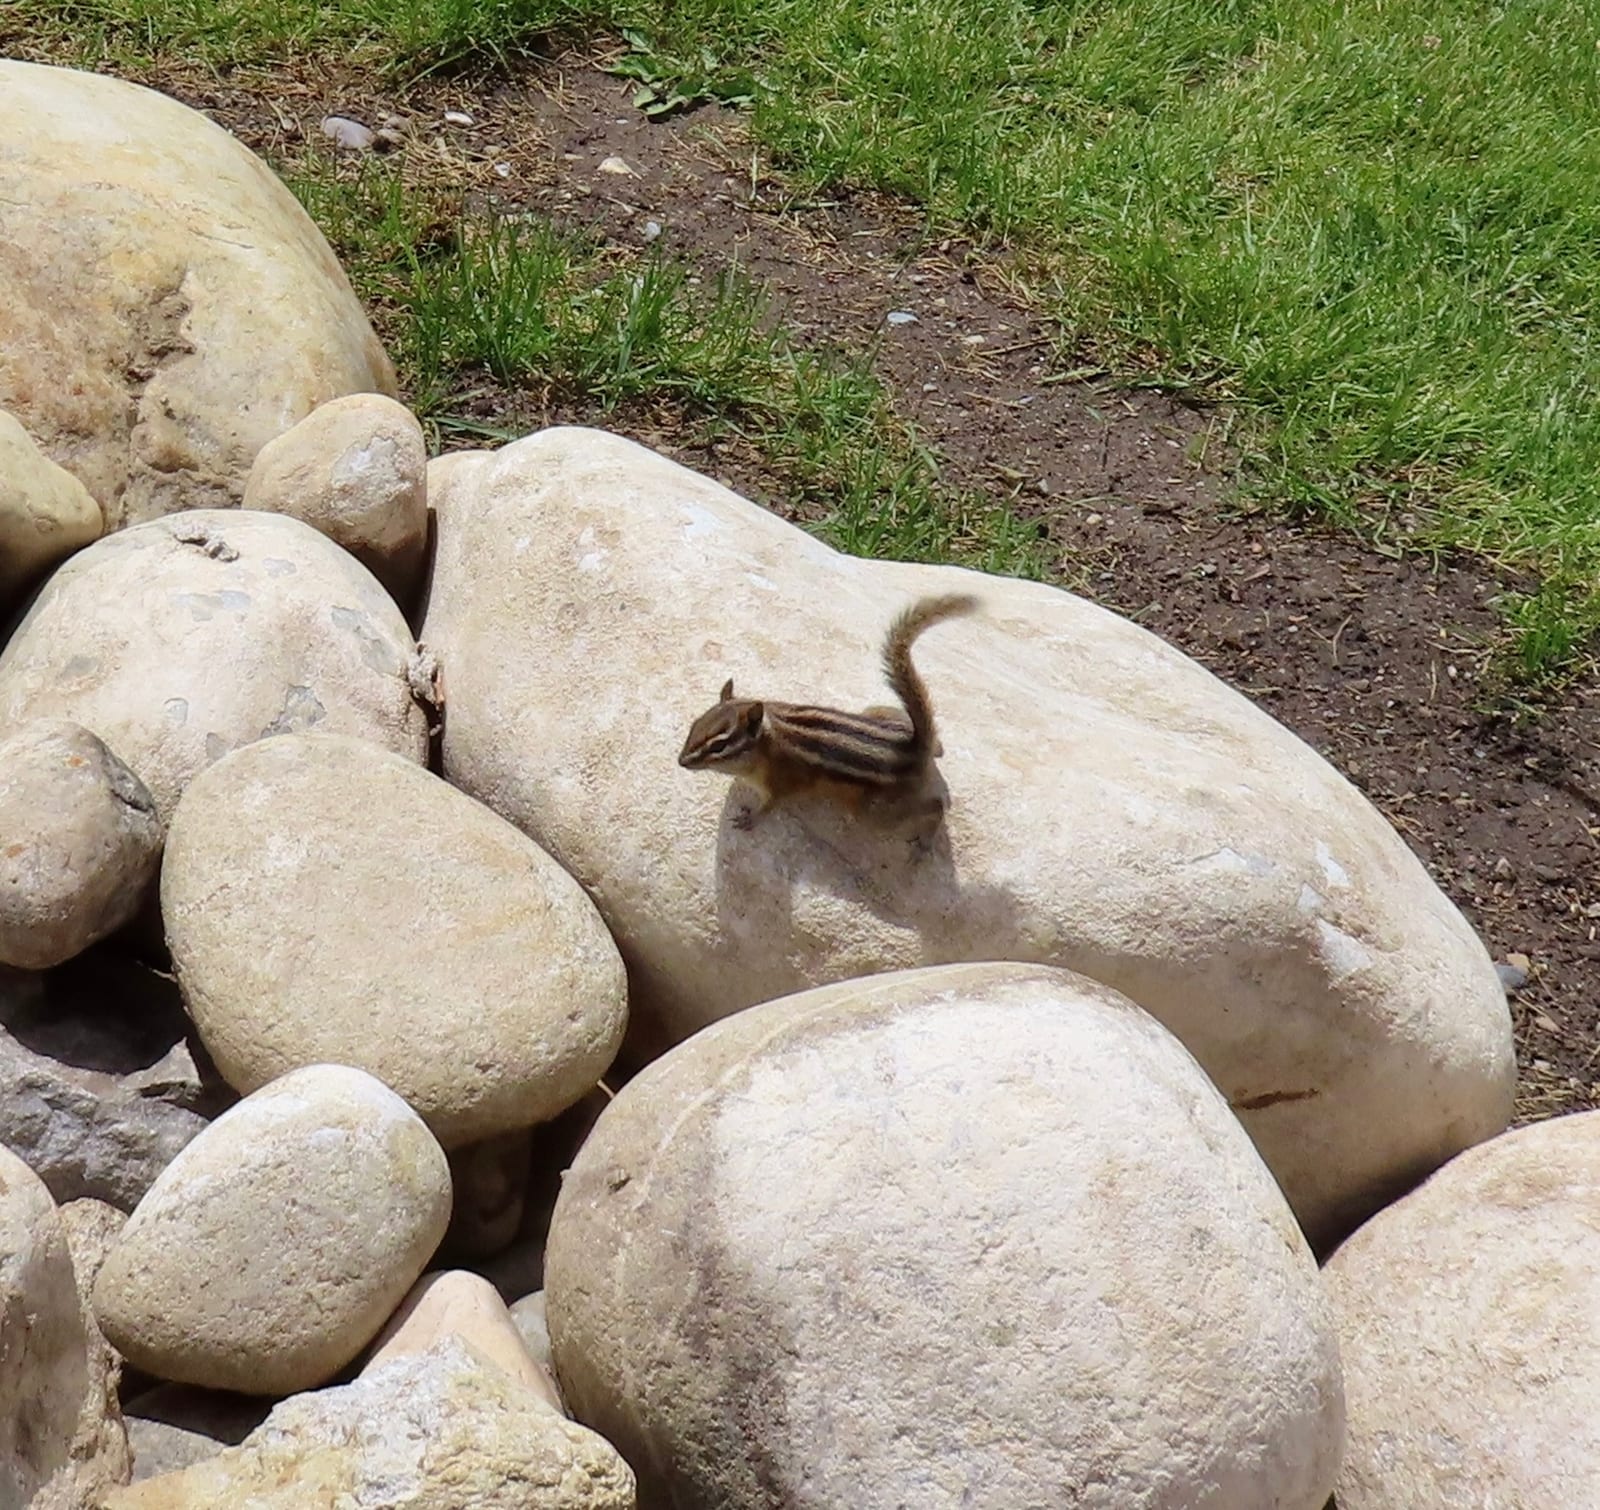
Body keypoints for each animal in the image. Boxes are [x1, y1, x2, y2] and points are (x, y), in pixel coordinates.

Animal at [677, 593, 979, 833]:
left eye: (719, 745)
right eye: (694, 725)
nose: (681, 762)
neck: (767, 743)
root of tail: (915, 747)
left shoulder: (783, 784)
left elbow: (770, 806)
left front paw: (750, 819)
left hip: (873, 812)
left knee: (935, 807)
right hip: (878, 711)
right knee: (937, 749)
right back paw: (938, 748)